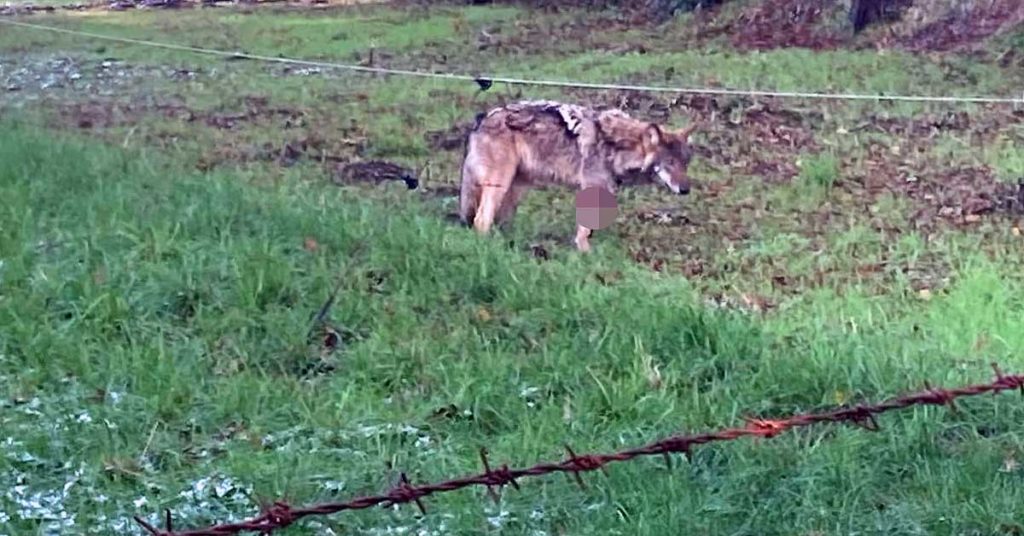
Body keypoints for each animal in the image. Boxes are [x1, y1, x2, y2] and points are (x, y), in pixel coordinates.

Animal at [457, 99, 700, 251]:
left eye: (685, 163)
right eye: (670, 163)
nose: (685, 190)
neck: (616, 146)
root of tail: (481, 120)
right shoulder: (590, 188)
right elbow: (584, 231)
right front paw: (585, 253)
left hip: (516, 188)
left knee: (498, 220)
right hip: (500, 183)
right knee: (481, 220)